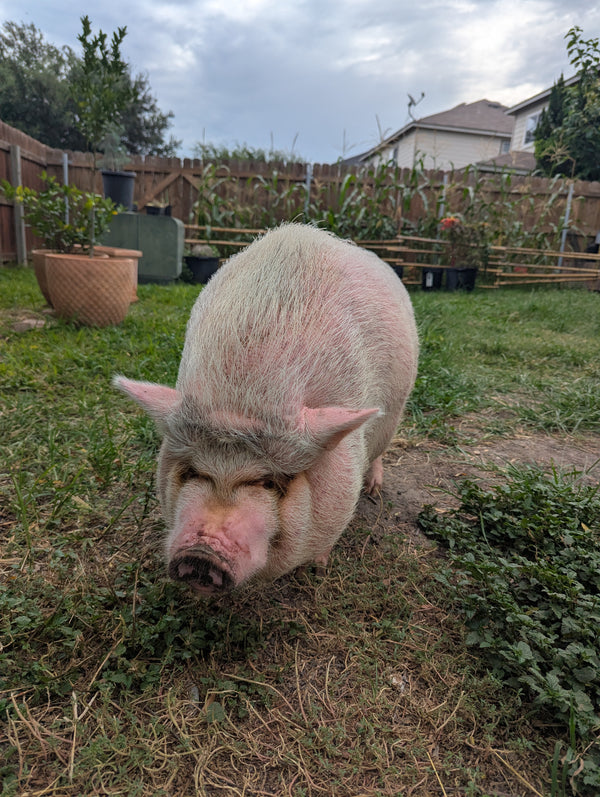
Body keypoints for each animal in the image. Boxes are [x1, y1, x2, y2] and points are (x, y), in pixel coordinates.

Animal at [114, 223, 418, 595]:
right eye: (193, 472)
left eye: (268, 482)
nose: (200, 556)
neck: (242, 399)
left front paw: (317, 567)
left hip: (393, 416)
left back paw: (374, 488)